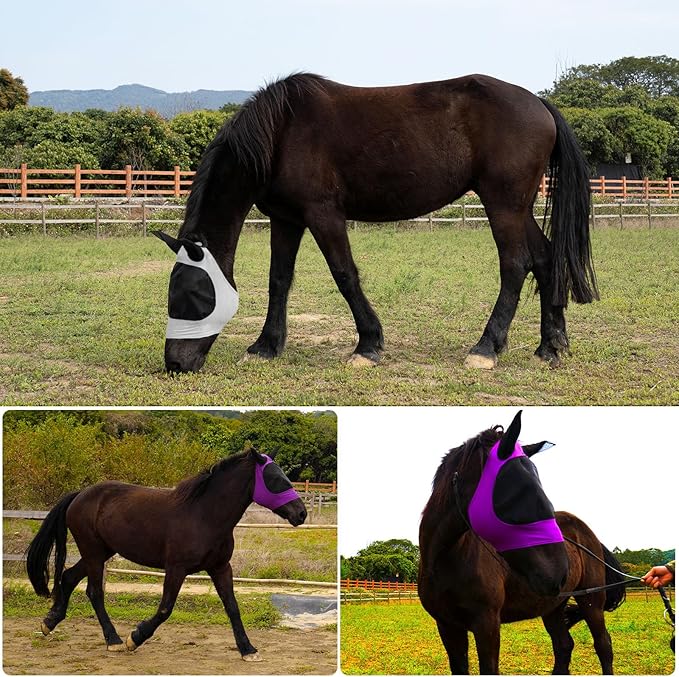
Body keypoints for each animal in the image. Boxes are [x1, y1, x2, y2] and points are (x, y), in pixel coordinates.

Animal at [25, 448, 307, 661]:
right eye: (276, 479)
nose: (301, 513)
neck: (204, 516)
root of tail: (79, 495)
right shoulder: (176, 569)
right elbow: (165, 609)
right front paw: (135, 638)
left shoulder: (220, 567)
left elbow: (232, 607)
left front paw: (248, 649)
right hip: (93, 553)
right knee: (94, 592)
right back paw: (113, 639)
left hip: (100, 552)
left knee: (68, 577)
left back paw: (49, 622)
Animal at [156, 72, 598, 374]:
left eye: (194, 295)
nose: (175, 364)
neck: (281, 132)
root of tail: (540, 104)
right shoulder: (286, 219)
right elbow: (278, 280)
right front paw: (266, 345)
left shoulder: (324, 215)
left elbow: (344, 275)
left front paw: (367, 345)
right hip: (517, 208)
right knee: (545, 260)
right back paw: (551, 345)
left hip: (502, 205)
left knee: (515, 266)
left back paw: (486, 347)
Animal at [418, 411, 625, 674]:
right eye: (519, 490)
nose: (559, 573)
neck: (445, 558)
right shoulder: (447, 626)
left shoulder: (487, 625)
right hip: (552, 608)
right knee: (564, 646)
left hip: (591, 602)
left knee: (603, 645)